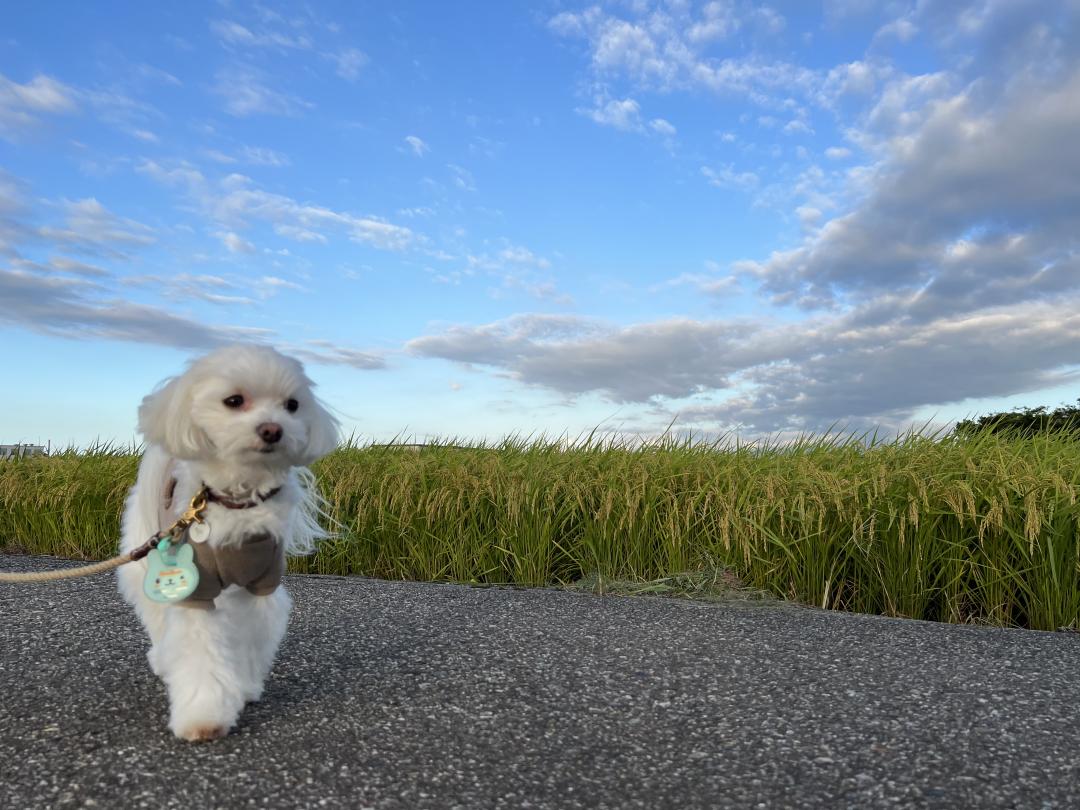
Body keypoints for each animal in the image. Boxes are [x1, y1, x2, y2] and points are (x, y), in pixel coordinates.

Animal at [117, 343, 336, 743]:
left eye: (292, 405)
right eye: (234, 400)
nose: (273, 429)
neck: (239, 498)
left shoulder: (260, 585)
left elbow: (250, 637)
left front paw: (245, 687)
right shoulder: (195, 589)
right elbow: (200, 650)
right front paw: (204, 715)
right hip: (147, 558)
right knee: (157, 616)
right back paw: (163, 659)